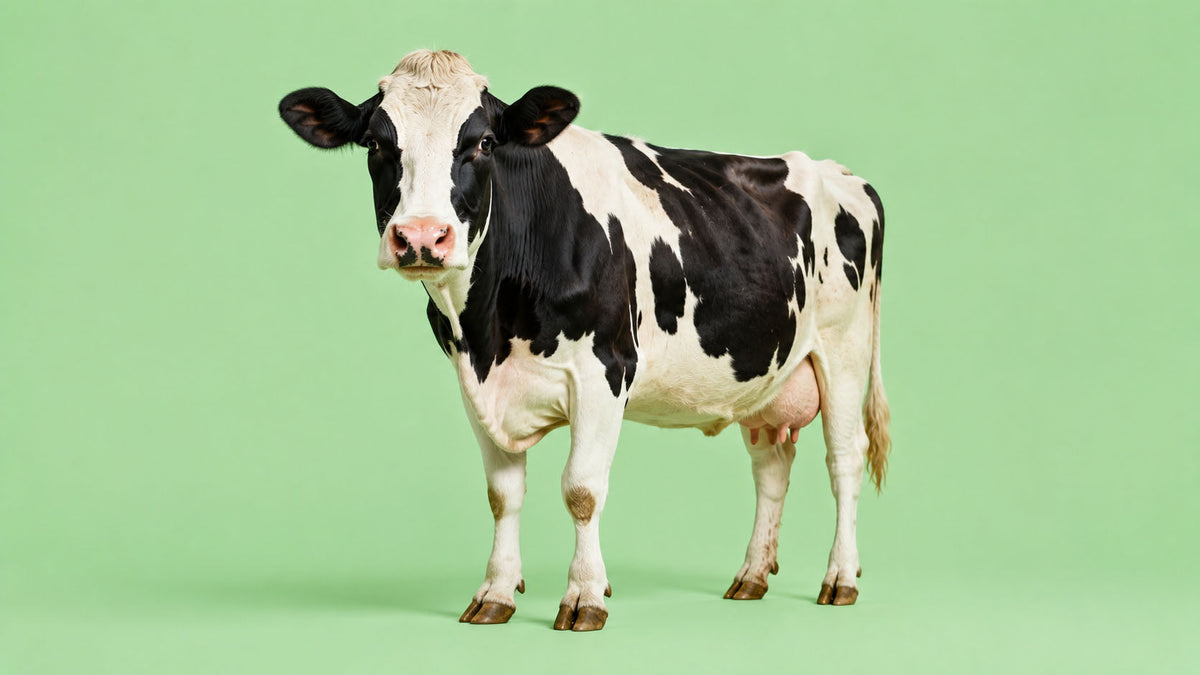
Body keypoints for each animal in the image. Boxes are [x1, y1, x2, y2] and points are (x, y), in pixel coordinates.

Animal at [278, 50, 891, 632]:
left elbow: (582, 489)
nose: (423, 237)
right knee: (771, 465)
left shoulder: (605, 371)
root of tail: (843, 175)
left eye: (482, 143)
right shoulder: (475, 382)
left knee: (844, 459)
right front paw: (496, 593)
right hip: (766, 373)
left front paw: (584, 596)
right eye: (375, 143)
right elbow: (502, 495)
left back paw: (840, 578)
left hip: (845, 349)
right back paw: (751, 576)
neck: (490, 328)